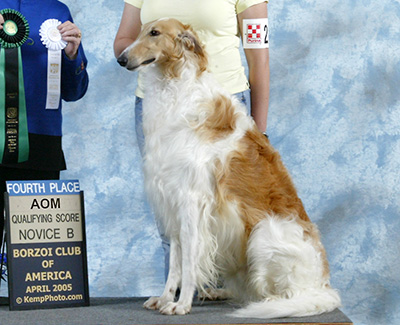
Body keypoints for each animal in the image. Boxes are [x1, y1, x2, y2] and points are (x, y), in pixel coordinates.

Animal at [118, 17, 340, 316]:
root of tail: (324, 285)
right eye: (140, 29)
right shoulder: (172, 200)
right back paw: (220, 292)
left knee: (286, 294)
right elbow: (175, 263)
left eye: (154, 33)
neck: (175, 86)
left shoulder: (191, 201)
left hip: (264, 232)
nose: (121, 58)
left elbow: (188, 264)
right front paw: (165, 299)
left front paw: (181, 304)